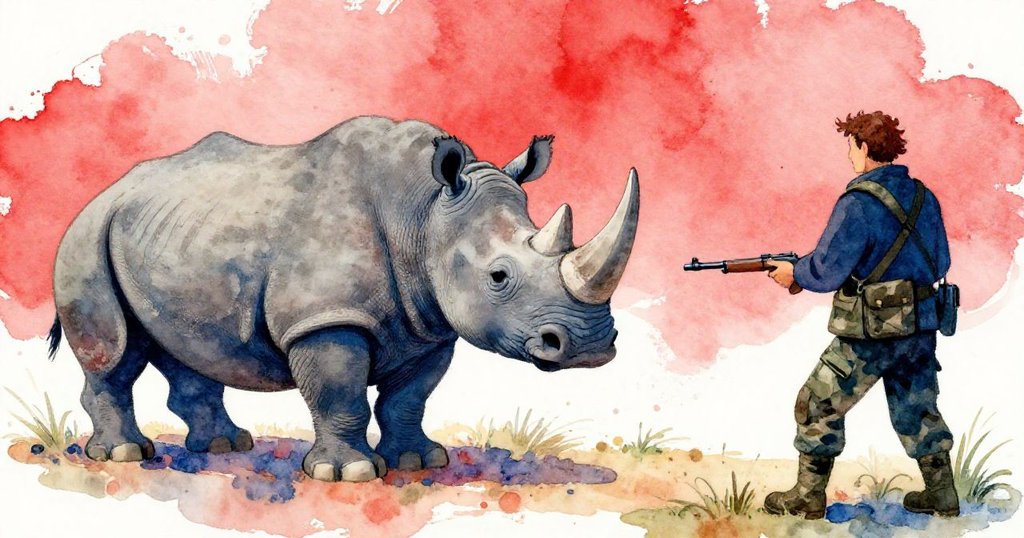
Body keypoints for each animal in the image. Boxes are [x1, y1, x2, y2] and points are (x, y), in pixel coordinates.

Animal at [50, 116, 639, 482]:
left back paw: (224, 447)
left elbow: (409, 397)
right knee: (115, 352)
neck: (423, 214)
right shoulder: (325, 317)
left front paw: (420, 462)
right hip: (86, 237)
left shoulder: (429, 326)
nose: (591, 345)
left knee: (188, 345)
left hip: (169, 238)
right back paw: (126, 455)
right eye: (498, 276)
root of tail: (106, 191)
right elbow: (340, 394)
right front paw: (350, 473)